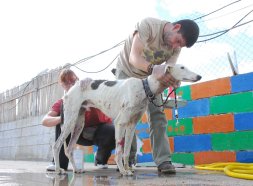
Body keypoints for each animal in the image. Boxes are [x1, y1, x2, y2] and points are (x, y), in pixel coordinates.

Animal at [52, 63, 202, 175]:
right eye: (182, 67)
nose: (199, 76)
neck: (144, 87)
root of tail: (68, 92)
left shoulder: (131, 125)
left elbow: (126, 150)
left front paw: (128, 168)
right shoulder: (120, 123)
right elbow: (119, 150)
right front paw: (123, 170)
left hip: (78, 124)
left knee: (68, 149)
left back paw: (76, 169)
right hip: (70, 122)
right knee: (57, 145)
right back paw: (59, 170)